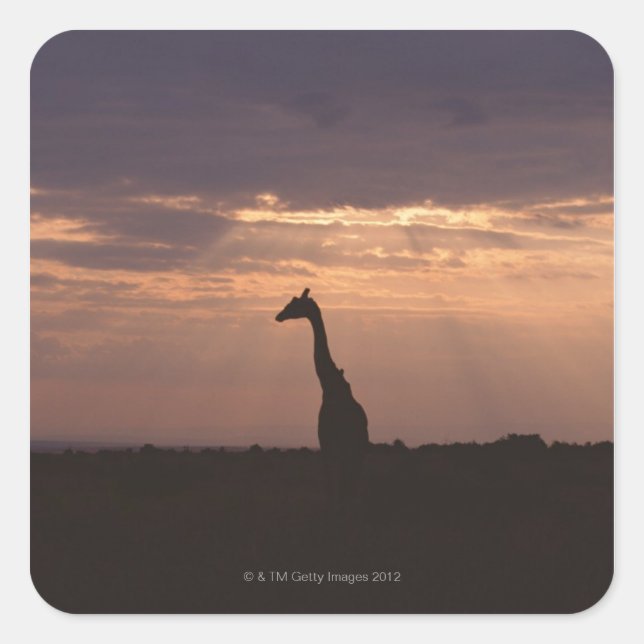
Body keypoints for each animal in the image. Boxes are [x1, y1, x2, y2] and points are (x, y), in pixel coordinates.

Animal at [275, 288, 369, 510]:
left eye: (295, 303)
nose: (279, 316)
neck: (329, 385)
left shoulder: (326, 439)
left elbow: (331, 480)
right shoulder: (330, 443)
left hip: (352, 446)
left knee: (349, 480)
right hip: (357, 447)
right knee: (353, 480)